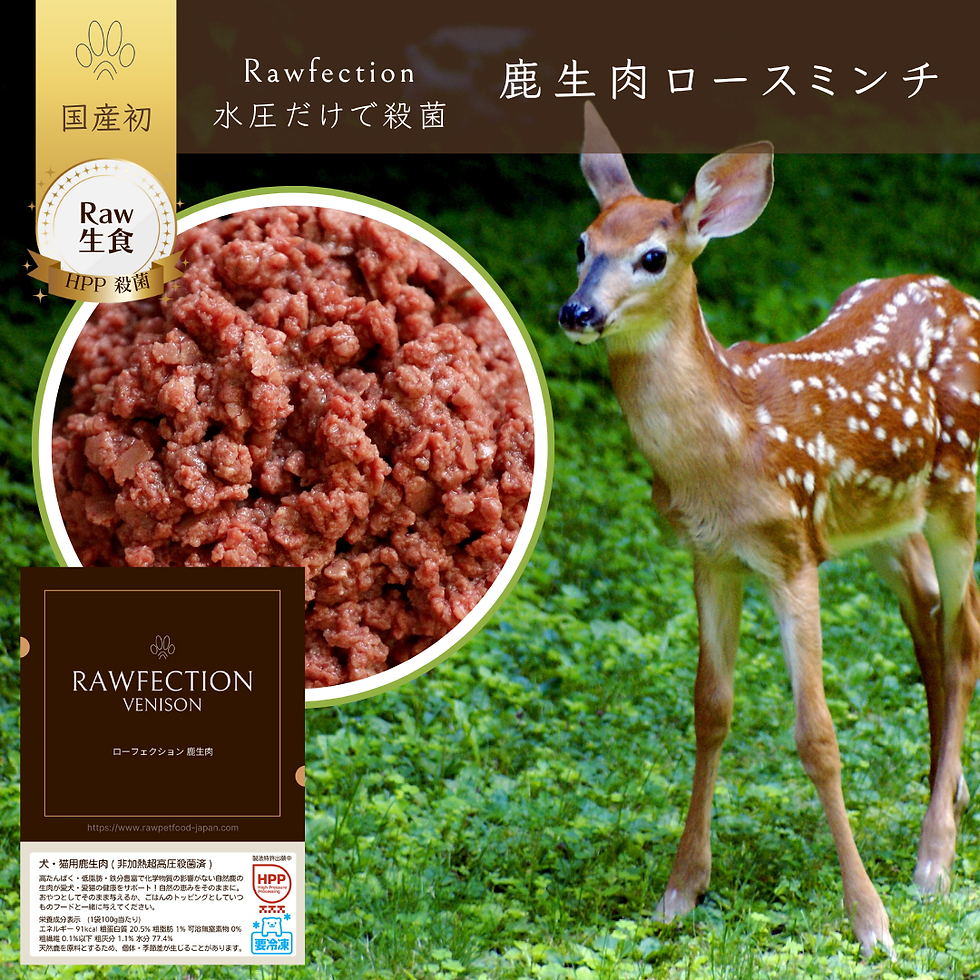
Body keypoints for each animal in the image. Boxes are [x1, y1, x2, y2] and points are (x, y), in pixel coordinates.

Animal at [558, 103, 980, 958]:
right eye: (583, 243)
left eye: (653, 256)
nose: (576, 311)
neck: (728, 443)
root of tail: (966, 298)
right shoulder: (711, 558)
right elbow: (710, 710)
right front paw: (680, 891)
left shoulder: (792, 555)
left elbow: (817, 736)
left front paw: (870, 921)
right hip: (887, 523)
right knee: (928, 621)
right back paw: (943, 799)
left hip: (960, 490)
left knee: (963, 640)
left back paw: (933, 861)